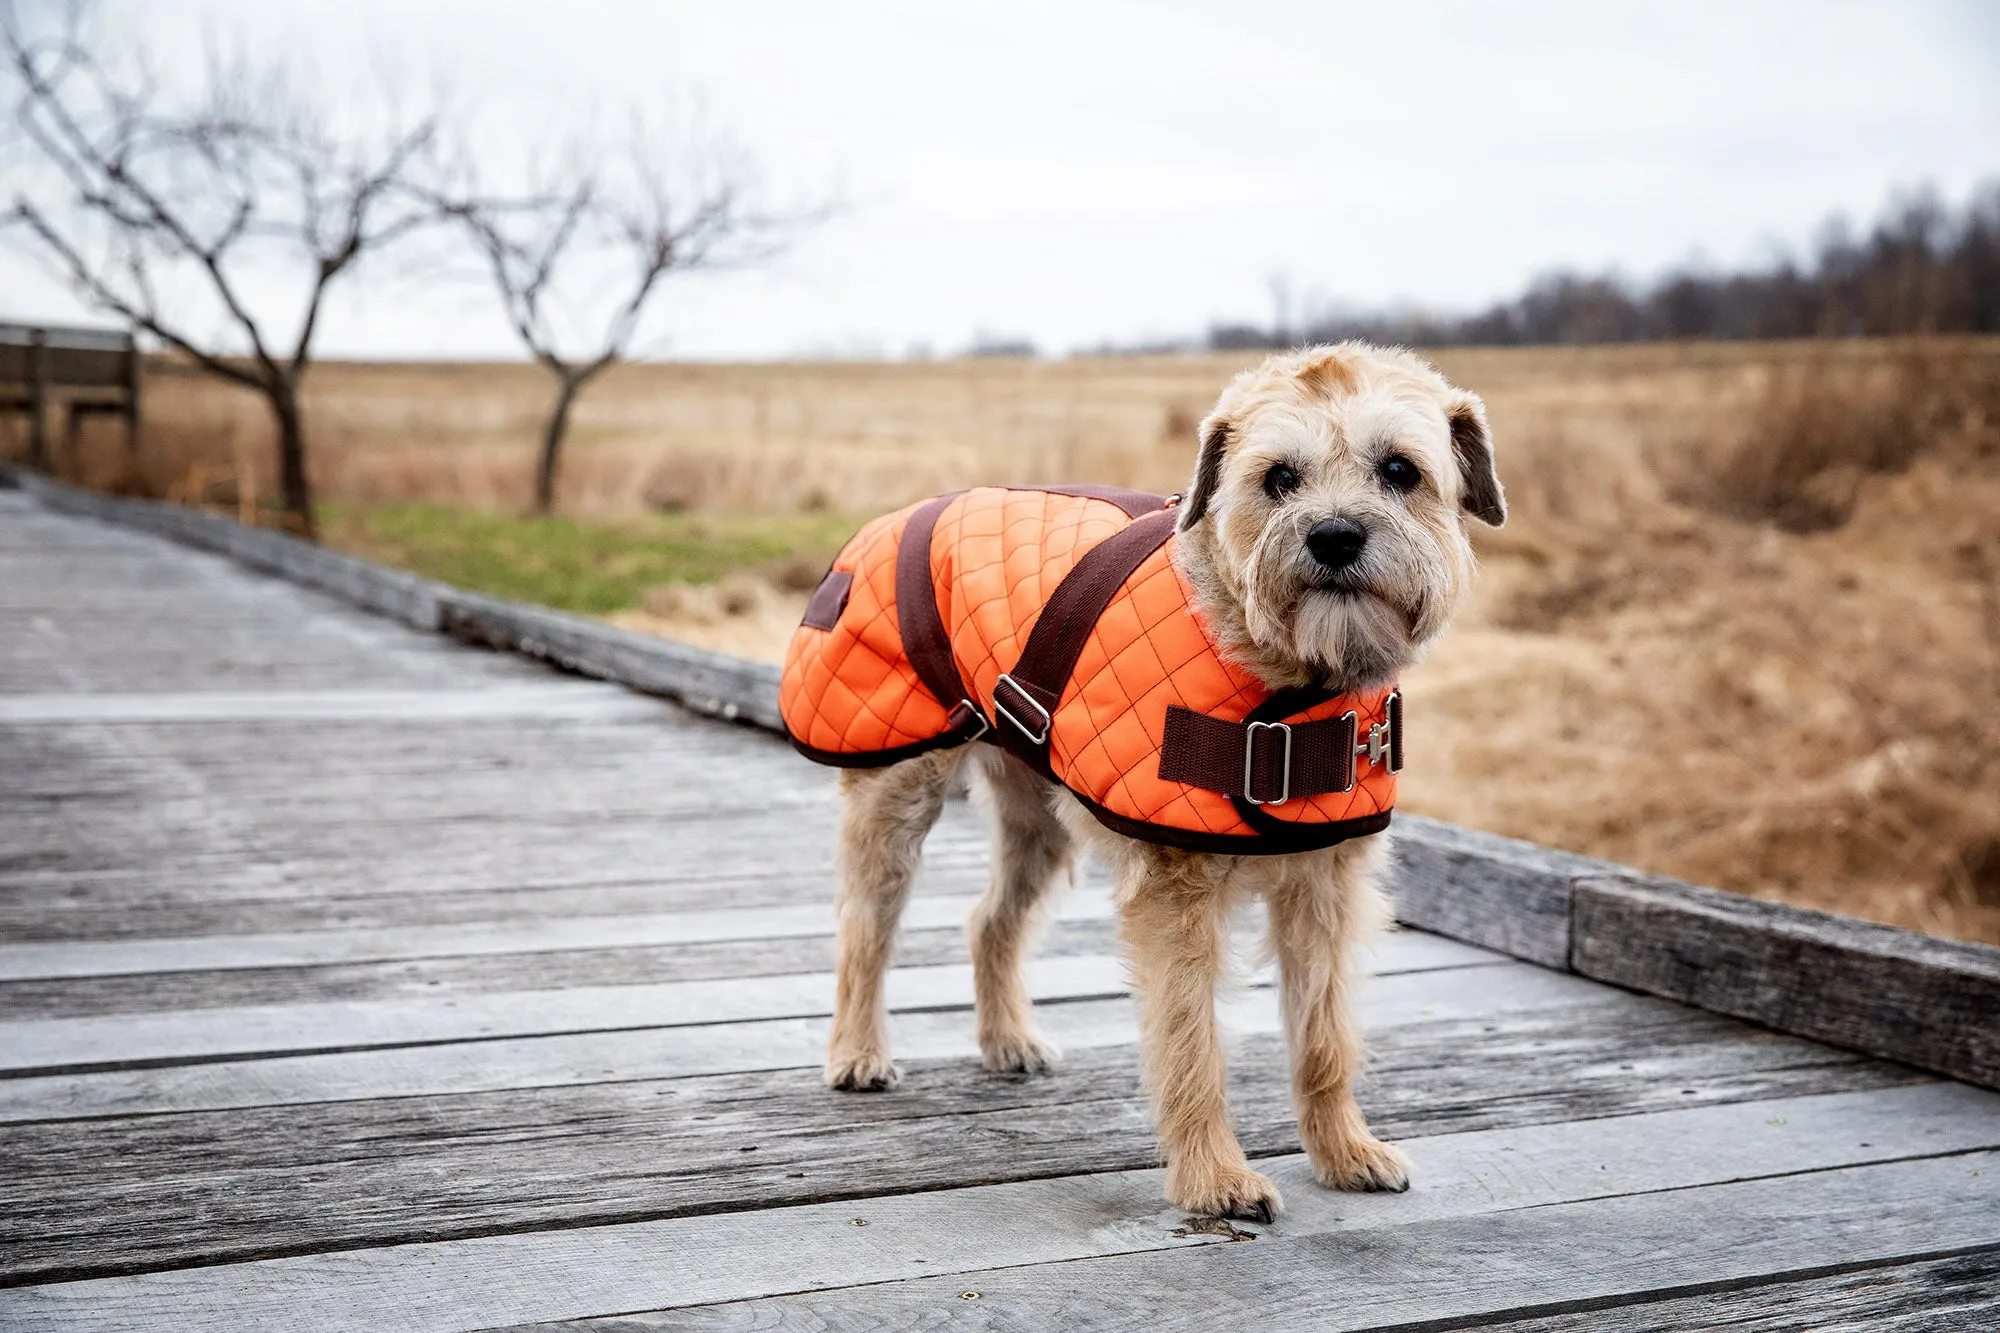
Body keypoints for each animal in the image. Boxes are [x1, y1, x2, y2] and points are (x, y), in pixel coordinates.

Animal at [788, 342, 1496, 1216]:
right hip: (895, 793)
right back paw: (857, 1050)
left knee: (989, 921)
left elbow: (1324, 1036)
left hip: (1040, 820)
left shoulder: (1326, 886)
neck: (1287, 676)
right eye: (1279, 478)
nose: (1333, 536)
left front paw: (1344, 1150)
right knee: (865, 928)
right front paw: (1214, 1178)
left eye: (1400, 469)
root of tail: (896, 517)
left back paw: (1008, 1038)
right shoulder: (1175, 893)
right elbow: (1192, 1044)